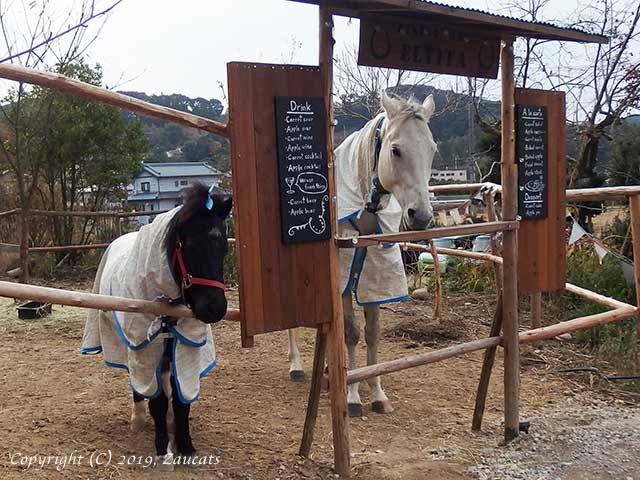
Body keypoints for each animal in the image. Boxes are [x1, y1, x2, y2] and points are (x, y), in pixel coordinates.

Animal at [82, 185, 232, 464]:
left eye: (223, 248)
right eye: (190, 245)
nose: (215, 308)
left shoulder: (183, 344)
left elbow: (181, 401)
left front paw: (185, 443)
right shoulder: (145, 347)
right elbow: (158, 400)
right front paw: (163, 444)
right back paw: (139, 418)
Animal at [288, 92, 436, 414]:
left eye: (432, 149)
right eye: (395, 150)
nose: (420, 216)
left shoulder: (374, 269)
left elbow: (371, 333)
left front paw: (377, 393)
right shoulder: (343, 275)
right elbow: (351, 332)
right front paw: (353, 396)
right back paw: (296, 366)